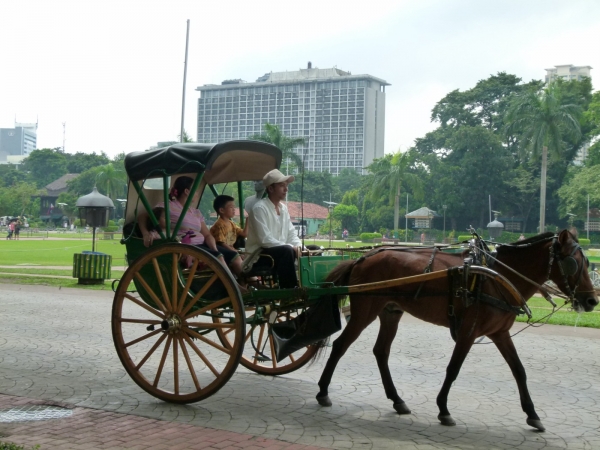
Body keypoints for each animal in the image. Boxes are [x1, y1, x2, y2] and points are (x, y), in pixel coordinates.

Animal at [316, 230, 596, 430]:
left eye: (587, 262)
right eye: (574, 263)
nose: (592, 300)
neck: (496, 276)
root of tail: (362, 257)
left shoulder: (499, 333)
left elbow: (519, 370)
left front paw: (532, 413)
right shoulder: (468, 331)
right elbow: (453, 369)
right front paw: (443, 409)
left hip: (390, 311)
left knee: (381, 351)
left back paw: (397, 400)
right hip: (365, 311)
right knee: (340, 345)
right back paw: (323, 391)